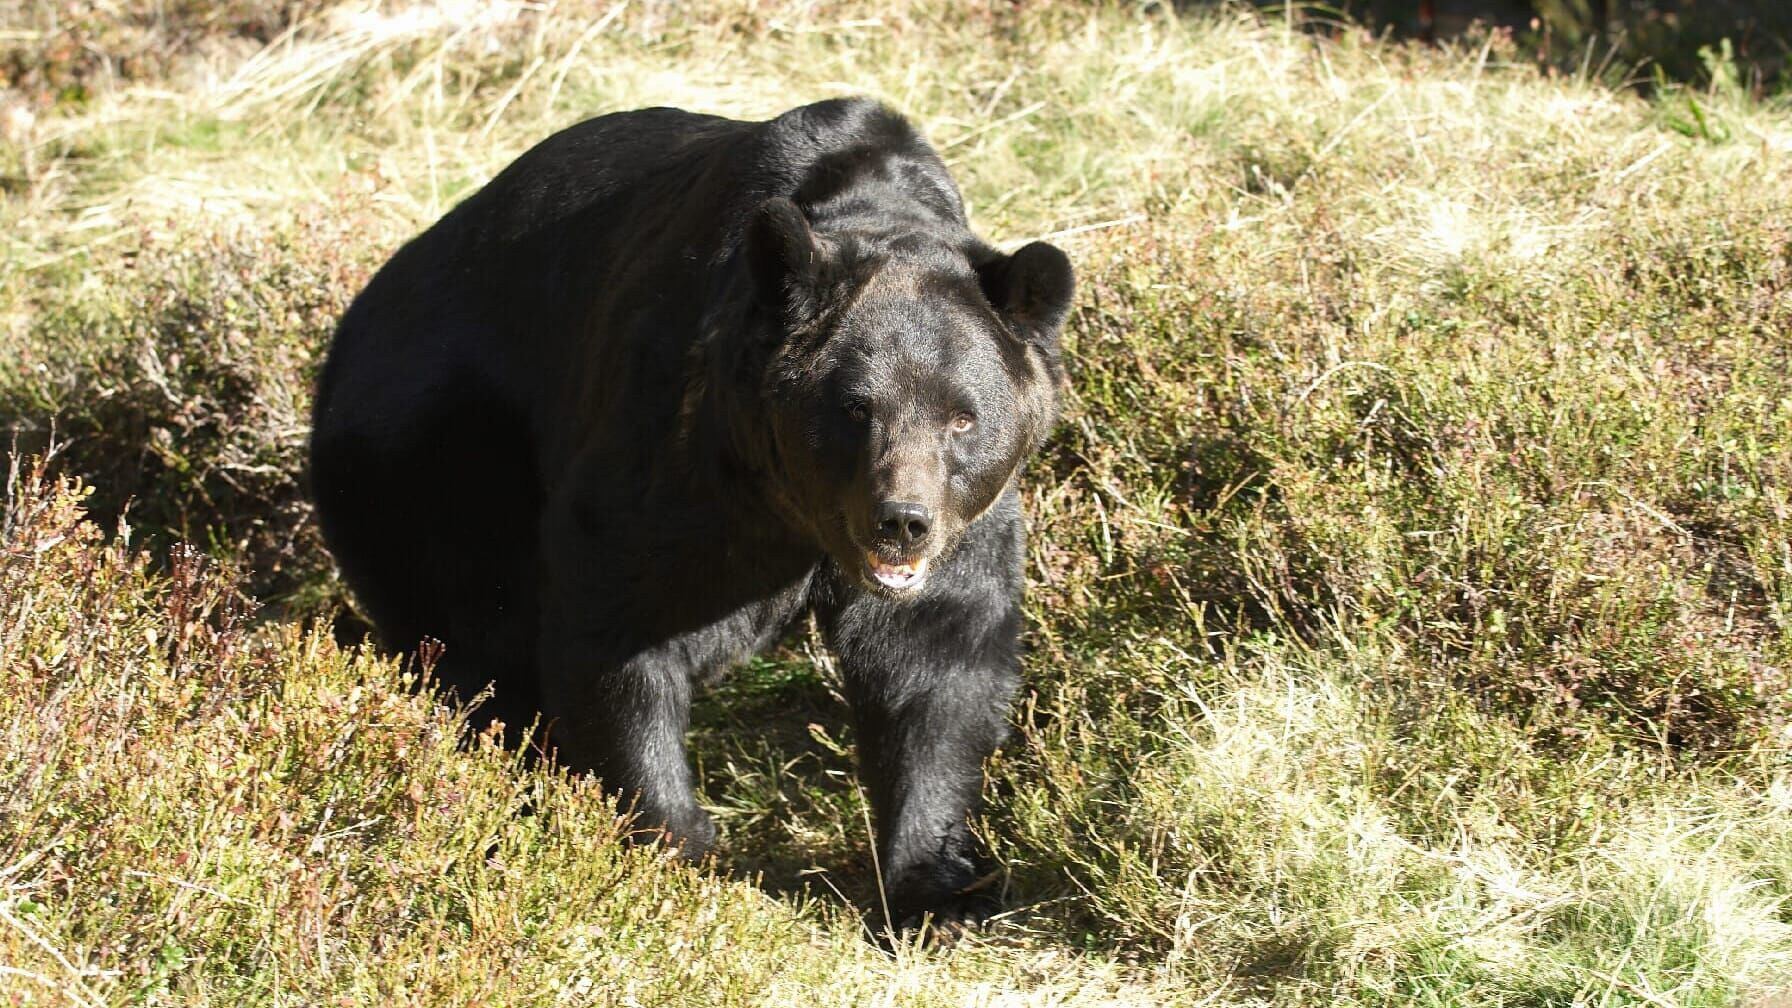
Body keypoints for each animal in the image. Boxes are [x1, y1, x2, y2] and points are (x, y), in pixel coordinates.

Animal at [308, 98, 1068, 932]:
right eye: (855, 408)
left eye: (962, 416)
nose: (901, 520)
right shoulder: (689, 455)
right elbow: (625, 624)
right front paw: (675, 846)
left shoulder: (969, 521)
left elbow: (936, 660)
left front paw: (937, 888)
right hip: (432, 451)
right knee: (475, 630)